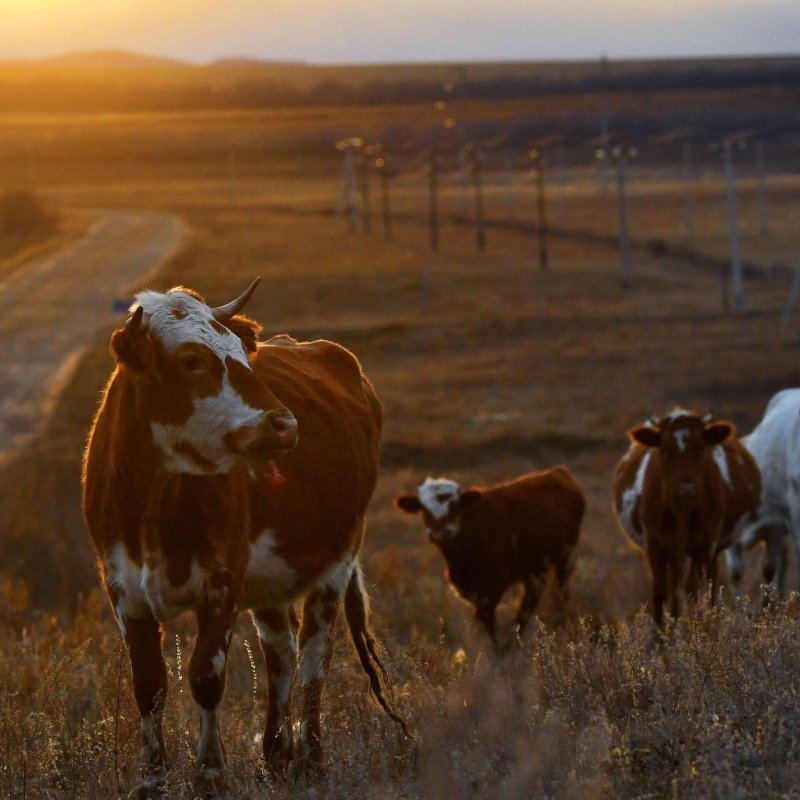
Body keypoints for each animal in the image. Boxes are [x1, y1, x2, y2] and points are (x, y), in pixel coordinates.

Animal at [82, 280, 406, 792]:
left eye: (241, 355)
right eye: (191, 360)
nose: (285, 424)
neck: (156, 500)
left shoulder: (223, 583)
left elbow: (205, 676)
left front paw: (211, 772)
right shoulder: (121, 588)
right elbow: (149, 684)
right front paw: (153, 779)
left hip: (336, 562)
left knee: (314, 656)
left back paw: (310, 759)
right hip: (272, 584)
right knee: (281, 655)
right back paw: (275, 756)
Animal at [396, 468, 584, 644]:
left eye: (454, 506)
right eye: (423, 509)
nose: (439, 533)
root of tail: (557, 471)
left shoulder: (492, 588)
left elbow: (489, 628)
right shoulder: (470, 591)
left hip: (568, 554)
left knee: (559, 594)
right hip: (534, 568)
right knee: (531, 599)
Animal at [616, 406, 760, 624]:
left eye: (701, 449)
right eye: (664, 450)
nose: (686, 488)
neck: (681, 511)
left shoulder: (704, 545)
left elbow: (695, 591)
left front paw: (695, 626)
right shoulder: (655, 545)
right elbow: (660, 592)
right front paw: (661, 632)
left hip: (708, 550)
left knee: (707, 585)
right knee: (675, 587)